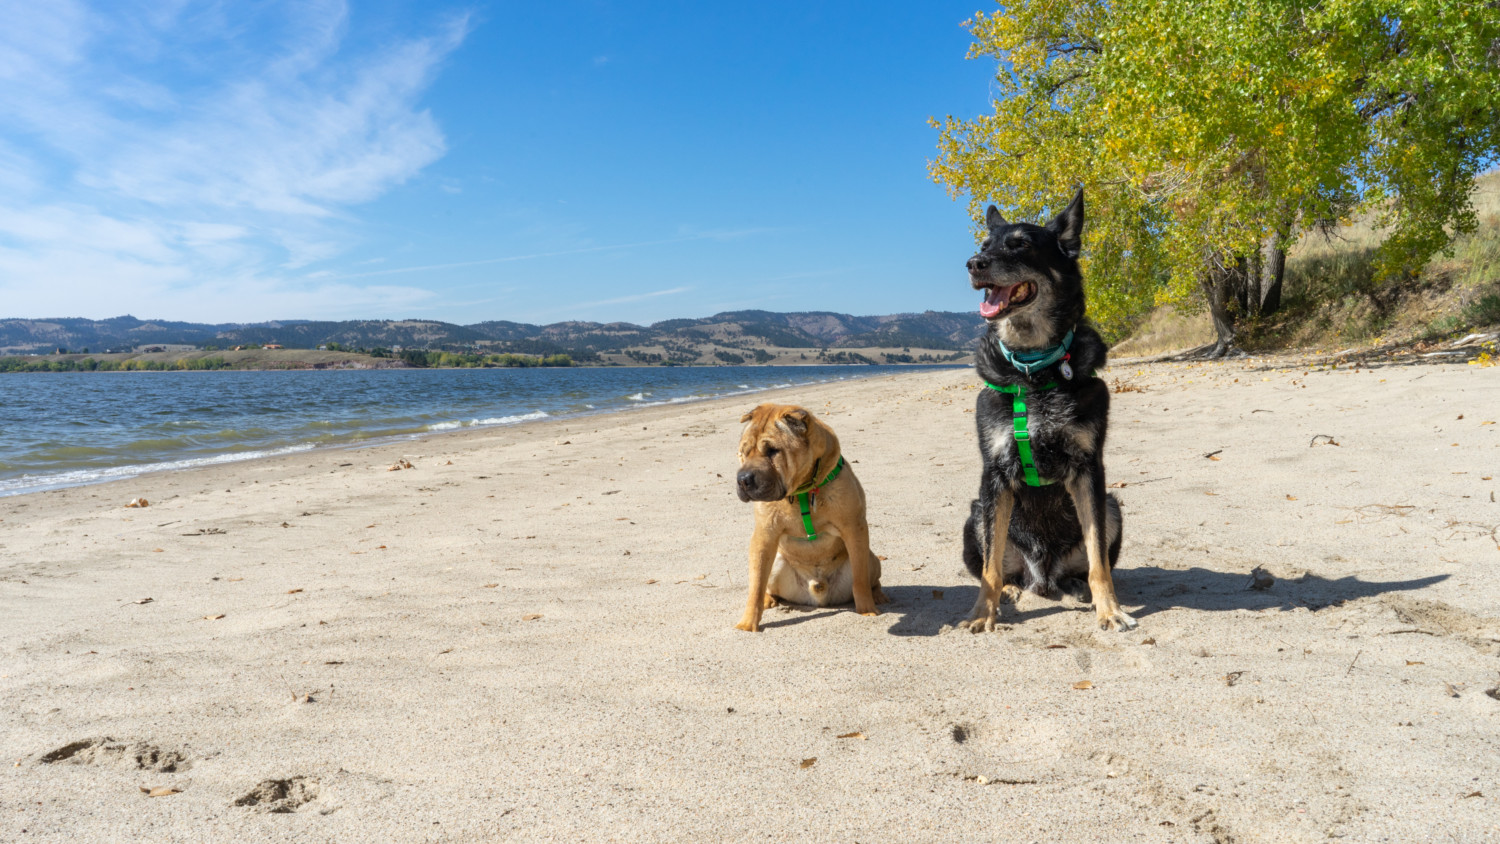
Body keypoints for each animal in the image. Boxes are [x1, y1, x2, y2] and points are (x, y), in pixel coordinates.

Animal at [732, 404, 882, 635]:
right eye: (743, 452)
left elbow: (860, 578)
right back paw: (769, 599)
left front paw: (867, 610)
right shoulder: (764, 536)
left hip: (872, 558)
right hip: (776, 563)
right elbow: (756, 584)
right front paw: (748, 623)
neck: (801, 491)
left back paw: (879, 595)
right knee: (766, 583)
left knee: (870, 577)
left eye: (772, 451)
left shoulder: (854, 528)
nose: (743, 479)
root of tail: (817, 593)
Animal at [960, 188, 1134, 629]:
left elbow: (1099, 561)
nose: (973, 264)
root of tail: (1043, 574)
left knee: (1085, 562)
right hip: (976, 514)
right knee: (999, 567)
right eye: (983, 246)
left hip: (1112, 506)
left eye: (1020, 244)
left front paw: (1110, 609)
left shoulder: (1089, 471)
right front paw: (982, 613)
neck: (1034, 369)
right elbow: (988, 567)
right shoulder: (995, 475)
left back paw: (1079, 588)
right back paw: (1008, 591)